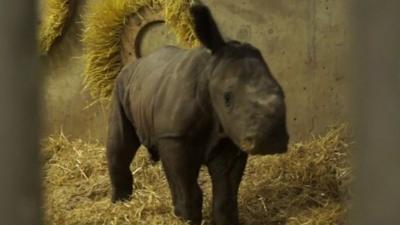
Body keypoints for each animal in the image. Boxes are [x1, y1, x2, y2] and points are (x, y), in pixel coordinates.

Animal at [105, 3, 288, 225]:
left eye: (283, 94)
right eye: (227, 98)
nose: (271, 141)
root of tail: (134, 65)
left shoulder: (230, 135)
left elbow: (225, 194)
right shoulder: (175, 138)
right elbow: (187, 192)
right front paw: (185, 218)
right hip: (120, 86)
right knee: (119, 142)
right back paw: (120, 203)